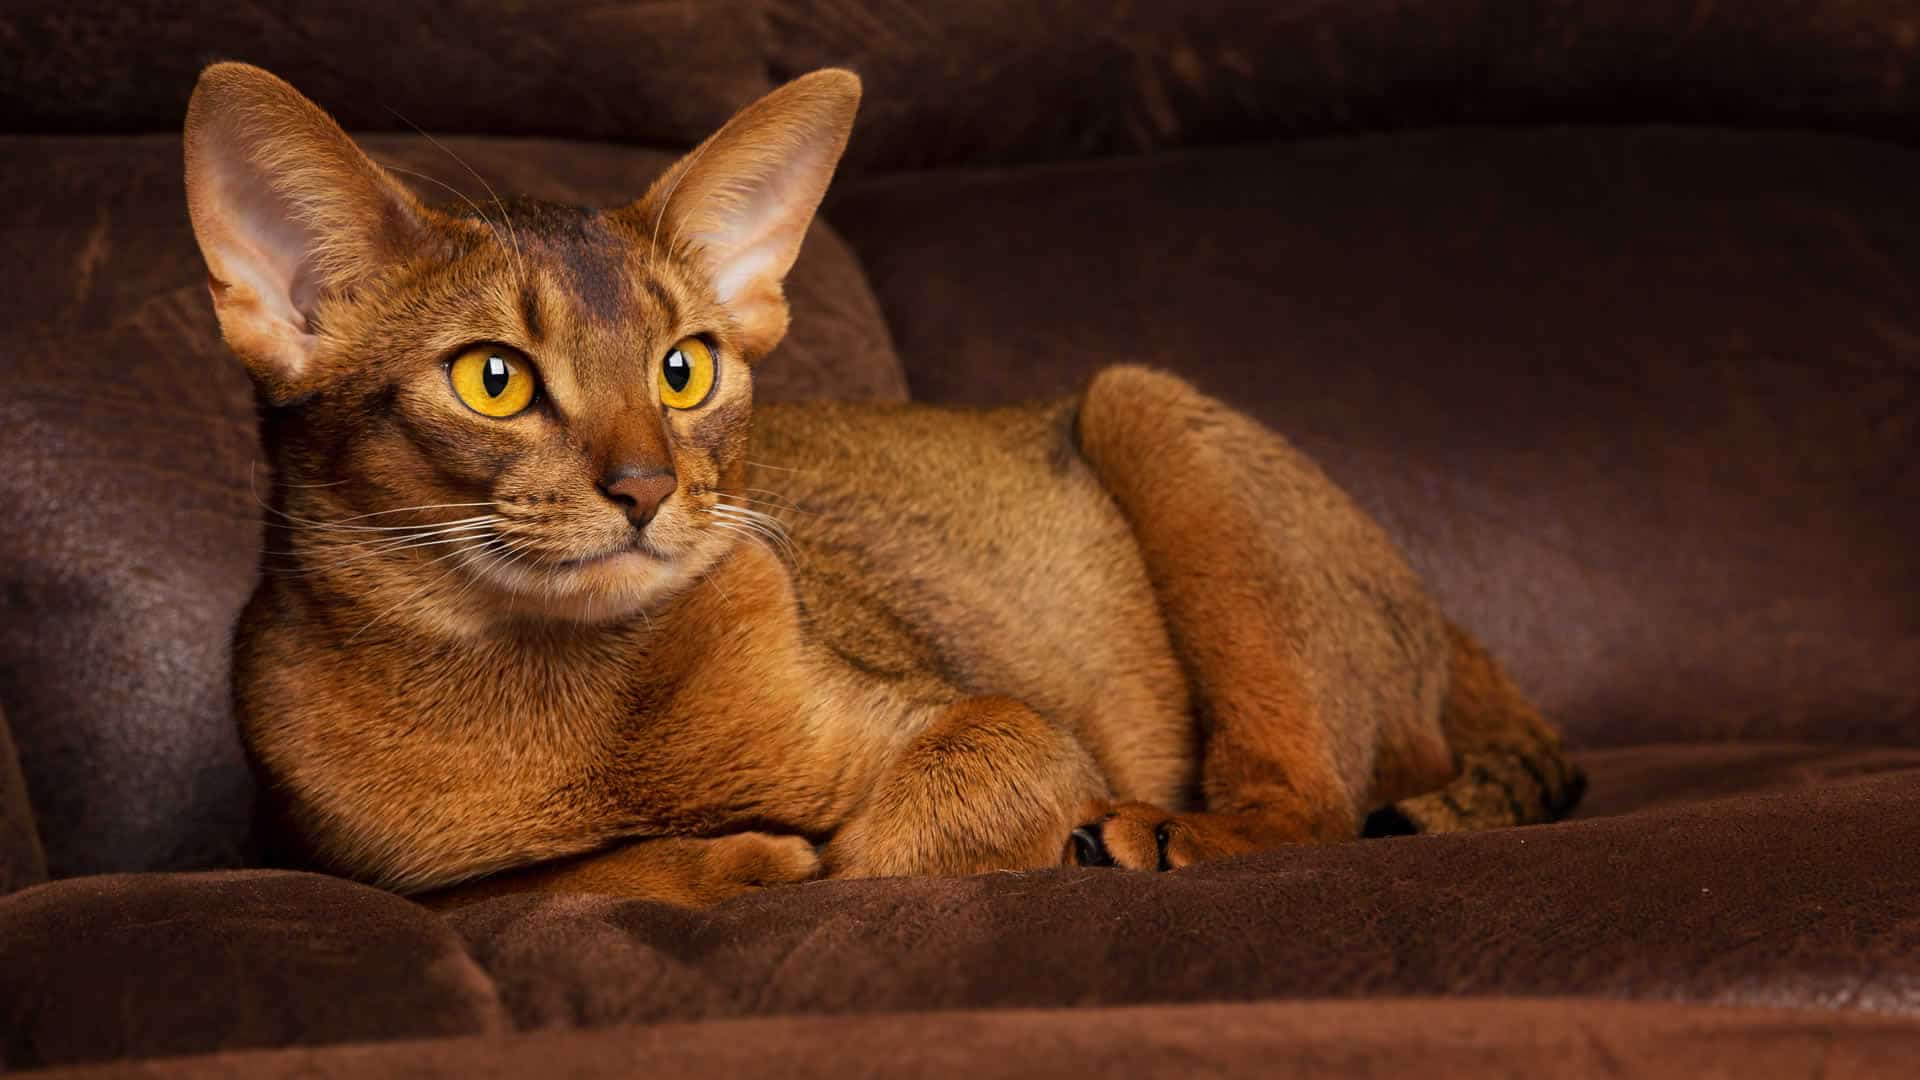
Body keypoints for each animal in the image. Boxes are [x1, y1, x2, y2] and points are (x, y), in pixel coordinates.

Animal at [187, 62, 1582, 903]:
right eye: (493, 379)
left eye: (684, 369)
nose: (646, 488)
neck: (546, 695)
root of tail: (1448, 621)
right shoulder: (369, 868)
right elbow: (549, 882)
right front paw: (735, 856)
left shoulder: (998, 726)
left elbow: (891, 844)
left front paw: (810, 854)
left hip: (1142, 404)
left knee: (1319, 803)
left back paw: (1167, 832)